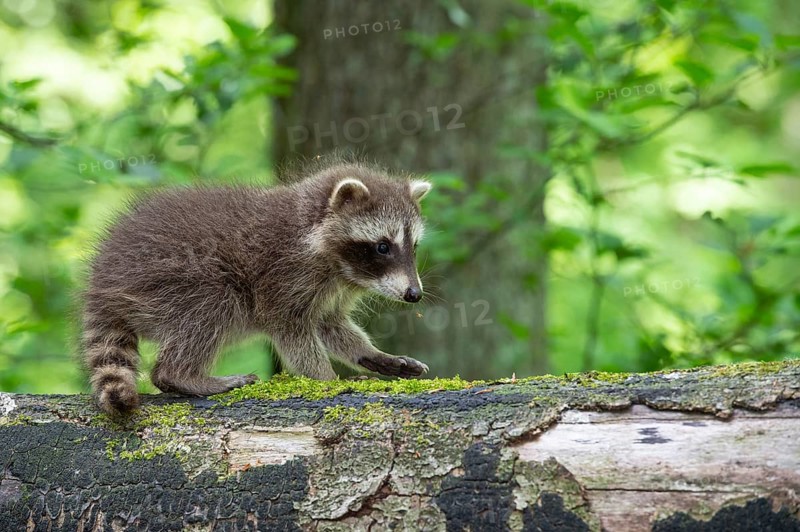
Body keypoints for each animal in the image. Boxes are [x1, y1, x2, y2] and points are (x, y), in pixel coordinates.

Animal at [83, 162, 431, 416]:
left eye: (413, 246)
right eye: (383, 247)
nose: (414, 295)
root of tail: (102, 280)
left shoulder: (330, 290)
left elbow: (331, 326)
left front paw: (374, 355)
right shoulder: (282, 276)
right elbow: (293, 334)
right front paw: (326, 379)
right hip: (172, 277)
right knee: (212, 306)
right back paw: (185, 376)